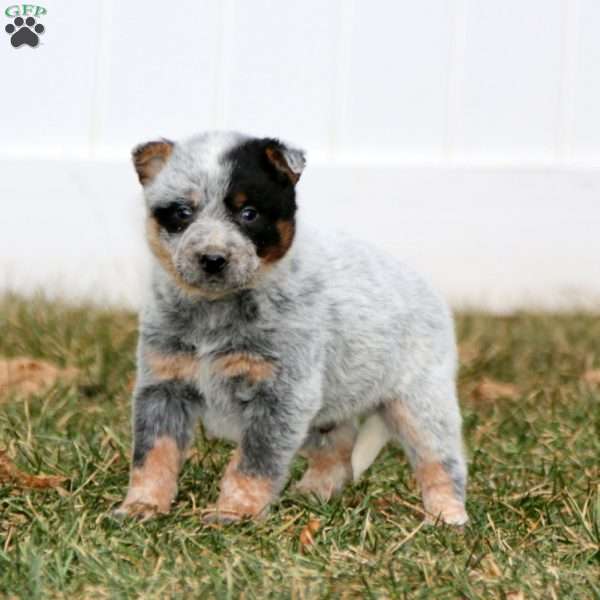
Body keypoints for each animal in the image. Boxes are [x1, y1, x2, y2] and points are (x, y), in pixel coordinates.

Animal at [117, 131, 468, 524]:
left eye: (249, 214)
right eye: (182, 213)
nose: (212, 258)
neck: (215, 311)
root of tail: (430, 291)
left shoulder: (281, 394)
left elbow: (254, 463)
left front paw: (234, 513)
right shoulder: (164, 383)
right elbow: (152, 454)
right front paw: (142, 506)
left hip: (420, 400)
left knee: (441, 458)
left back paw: (447, 515)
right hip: (326, 406)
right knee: (338, 447)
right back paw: (313, 493)